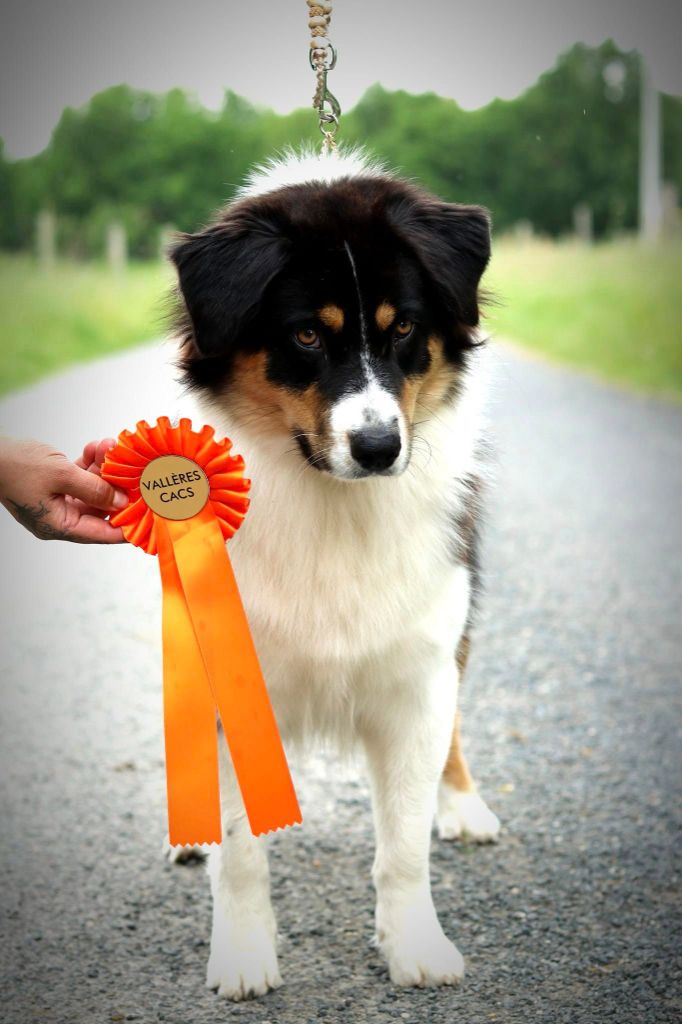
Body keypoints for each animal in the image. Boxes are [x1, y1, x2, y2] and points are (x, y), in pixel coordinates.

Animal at [168, 146, 499, 999]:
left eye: (405, 327)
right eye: (307, 336)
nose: (380, 448)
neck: (333, 501)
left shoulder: (419, 665)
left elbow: (404, 847)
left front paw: (415, 945)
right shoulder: (226, 671)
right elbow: (241, 851)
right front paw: (243, 955)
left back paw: (464, 805)